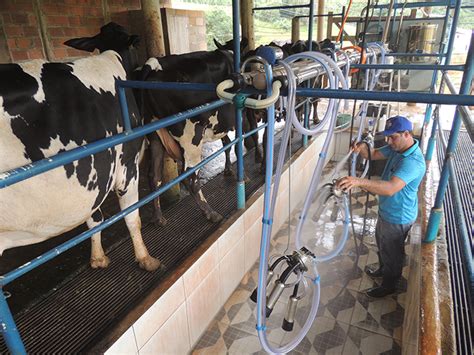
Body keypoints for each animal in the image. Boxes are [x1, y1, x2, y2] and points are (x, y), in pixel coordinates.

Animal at [0, 22, 159, 272]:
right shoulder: (127, 167)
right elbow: (132, 217)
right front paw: (145, 258)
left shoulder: (95, 179)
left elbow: (94, 218)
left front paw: (98, 257)